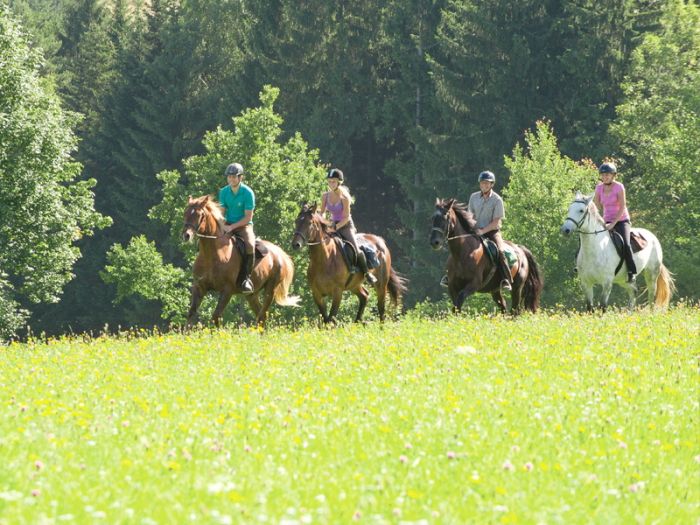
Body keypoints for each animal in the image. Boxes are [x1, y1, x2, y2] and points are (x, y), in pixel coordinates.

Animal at [180, 194, 298, 326]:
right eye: (185, 213)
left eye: (200, 215)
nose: (186, 235)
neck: (211, 255)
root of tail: (280, 253)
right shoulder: (199, 286)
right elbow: (191, 314)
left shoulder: (227, 290)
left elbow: (216, 316)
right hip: (251, 294)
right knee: (260, 314)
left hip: (270, 290)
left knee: (262, 315)